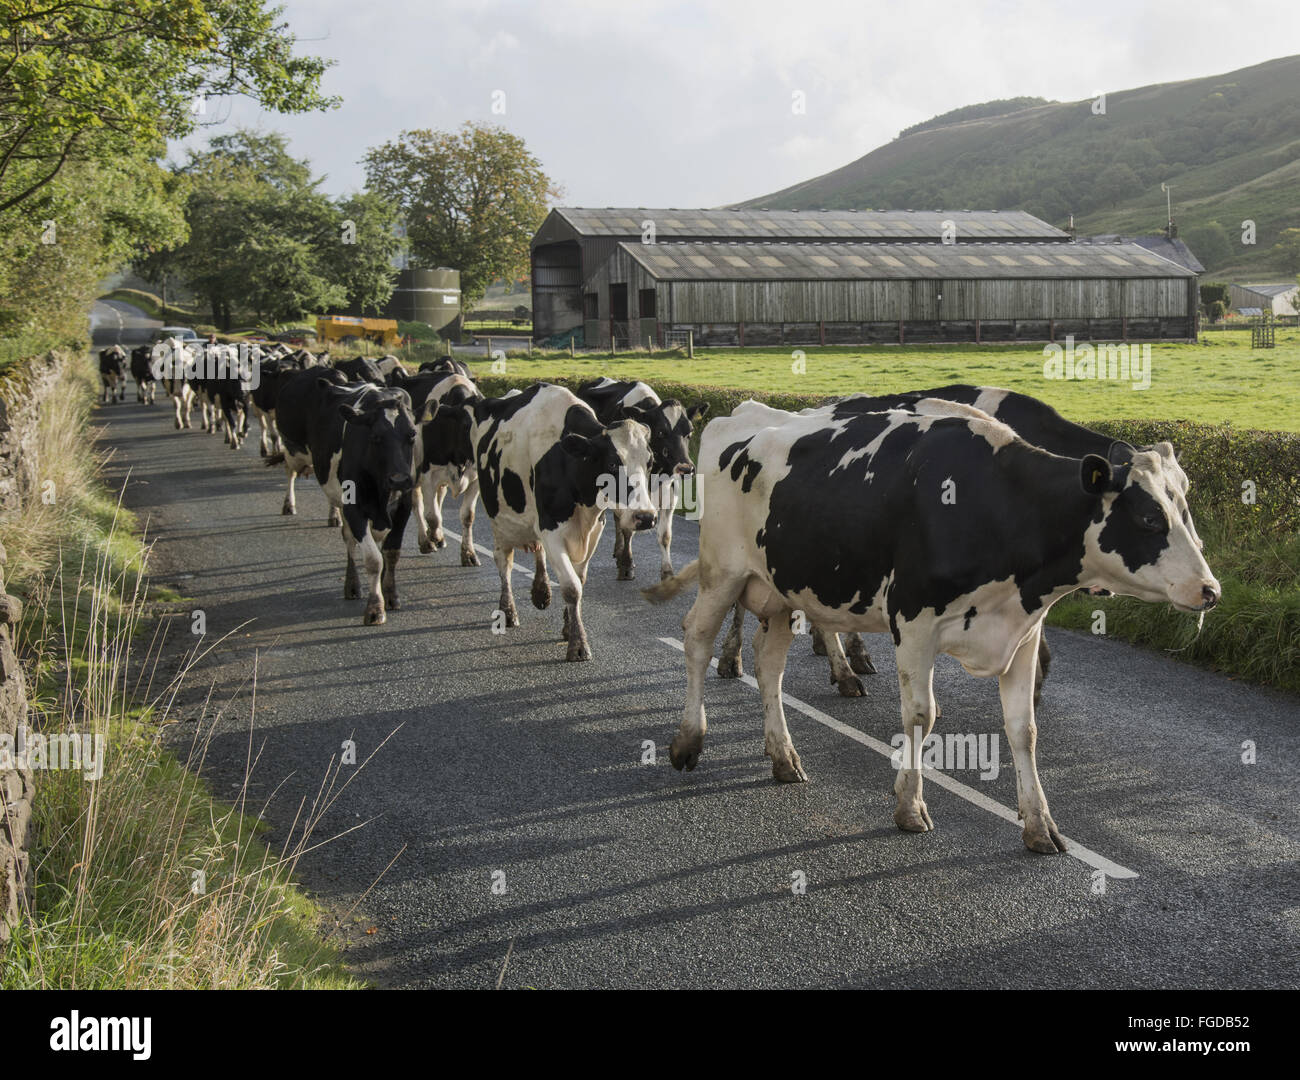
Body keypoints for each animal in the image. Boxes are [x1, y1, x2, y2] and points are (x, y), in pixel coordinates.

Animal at [269, 376, 416, 623]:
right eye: (375, 437)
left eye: (412, 435)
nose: (399, 479)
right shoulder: (355, 508)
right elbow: (373, 559)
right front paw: (375, 608)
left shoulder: (404, 506)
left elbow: (391, 553)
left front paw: (391, 595)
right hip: (293, 450)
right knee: (291, 473)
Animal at [470, 384, 660, 662]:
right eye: (613, 463)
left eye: (650, 462)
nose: (645, 517)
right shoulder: (551, 529)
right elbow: (571, 587)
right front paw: (578, 644)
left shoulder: (594, 530)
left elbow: (578, 580)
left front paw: (568, 626)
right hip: (499, 519)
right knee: (504, 563)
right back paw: (508, 611)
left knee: (536, 550)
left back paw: (541, 591)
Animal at [574, 379, 707, 582]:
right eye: (661, 432)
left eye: (690, 432)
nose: (686, 468)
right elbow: (627, 529)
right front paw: (627, 566)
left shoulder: (671, 492)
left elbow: (665, 535)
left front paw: (667, 572)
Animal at [650, 397, 1216, 852]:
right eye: (1149, 518)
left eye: (1186, 507)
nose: (1210, 590)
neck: (999, 504)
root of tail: (740, 414)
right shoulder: (914, 623)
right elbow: (922, 716)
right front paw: (910, 808)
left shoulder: (1023, 631)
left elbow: (1024, 729)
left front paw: (1040, 825)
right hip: (723, 572)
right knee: (695, 639)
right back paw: (688, 742)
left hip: (779, 591)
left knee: (769, 669)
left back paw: (784, 757)